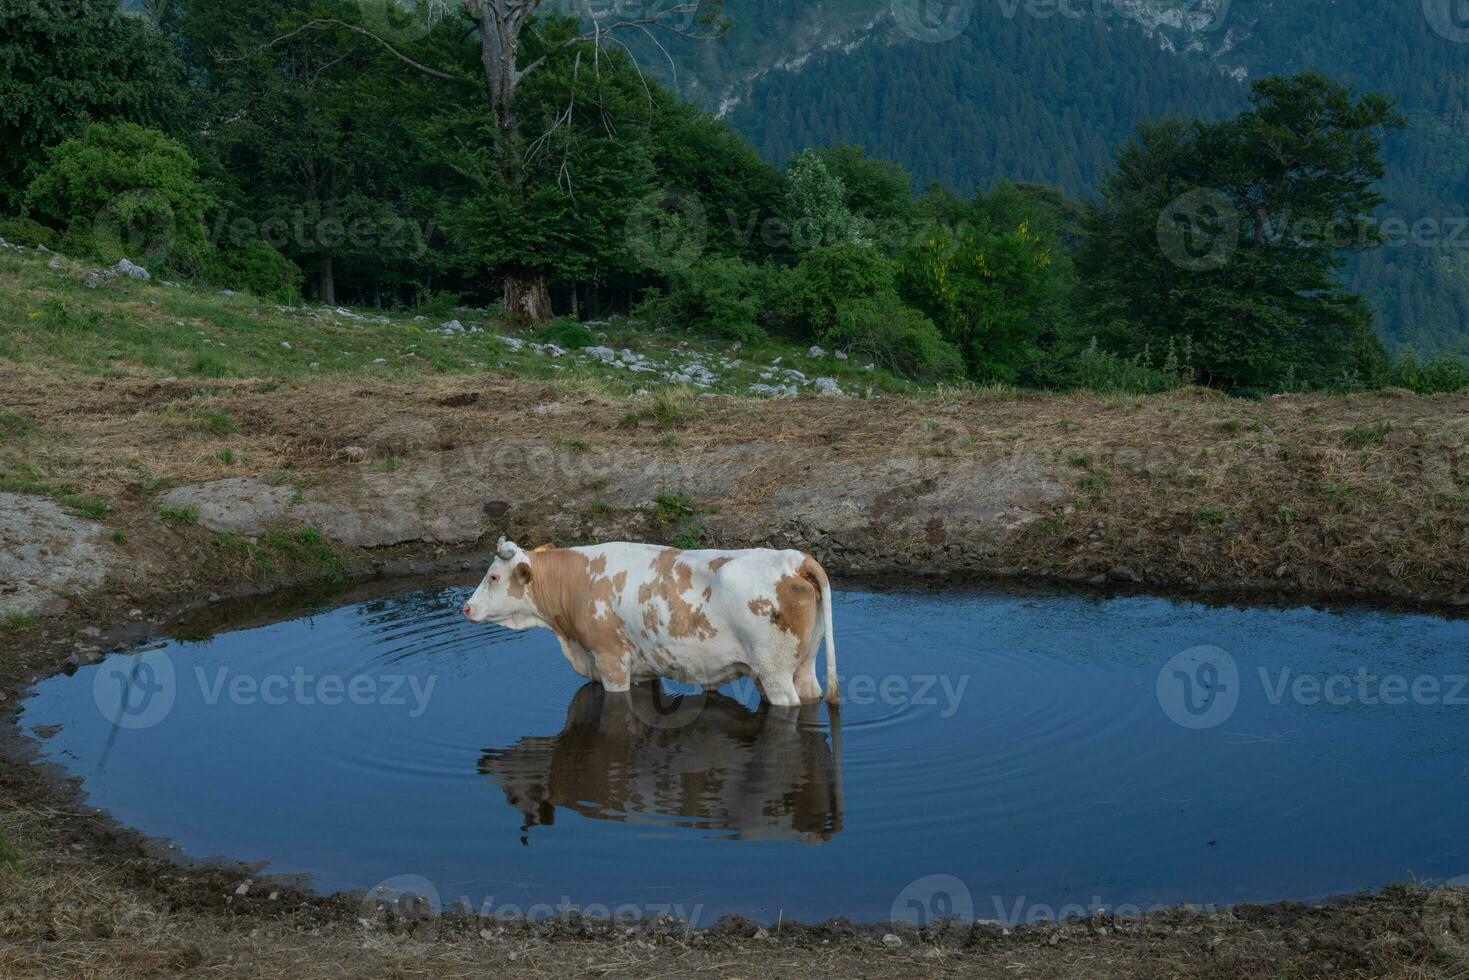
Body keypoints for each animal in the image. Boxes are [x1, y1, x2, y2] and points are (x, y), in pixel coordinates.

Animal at [464, 537, 846, 705]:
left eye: (494, 577)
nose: (466, 608)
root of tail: (793, 559)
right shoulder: (644, 667)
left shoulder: (611, 662)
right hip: (803, 665)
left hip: (774, 673)